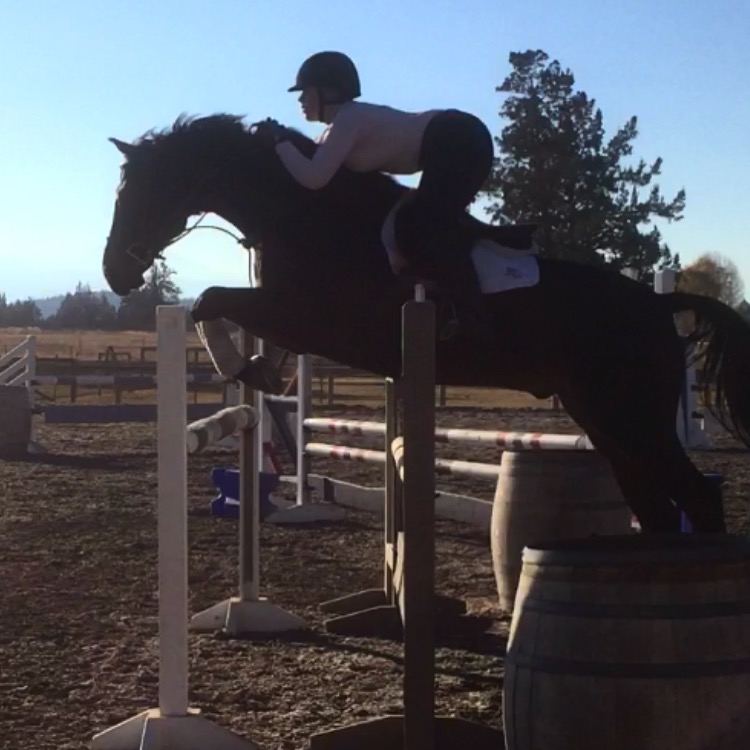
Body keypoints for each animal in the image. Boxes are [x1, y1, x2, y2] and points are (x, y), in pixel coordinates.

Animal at [101, 113, 750, 535]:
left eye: (140, 193)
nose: (114, 272)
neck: (309, 216)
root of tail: (656, 306)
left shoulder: (308, 318)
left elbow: (210, 301)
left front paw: (239, 365)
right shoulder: (292, 316)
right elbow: (229, 314)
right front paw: (257, 370)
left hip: (633, 417)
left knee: (695, 497)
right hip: (606, 420)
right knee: (660, 507)